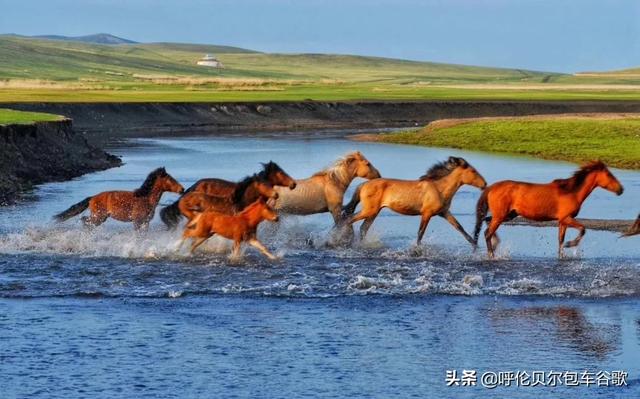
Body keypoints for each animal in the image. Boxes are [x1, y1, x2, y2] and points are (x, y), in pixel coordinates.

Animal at [53, 168, 184, 231]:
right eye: (170, 180)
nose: (182, 189)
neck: (145, 198)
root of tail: (92, 198)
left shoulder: (145, 222)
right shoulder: (137, 221)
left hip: (101, 218)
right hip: (98, 217)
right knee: (85, 221)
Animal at [344, 157, 484, 245]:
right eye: (473, 171)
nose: (484, 184)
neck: (439, 188)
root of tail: (363, 184)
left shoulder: (444, 213)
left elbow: (460, 227)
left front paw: (475, 245)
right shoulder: (427, 213)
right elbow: (420, 233)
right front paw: (417, 249)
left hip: (374, 212)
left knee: (363, 228)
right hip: (369, 210)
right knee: (349, 219)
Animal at [476, 161, 624, 258]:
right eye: (609, 175)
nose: (621, 190)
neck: (571, 192)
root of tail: (492, 187)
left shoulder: (562, 221)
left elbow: (560, 240)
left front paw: (562, 254)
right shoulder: (566, 218)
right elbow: (582, 229)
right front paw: (570, 244)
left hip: (507, 215)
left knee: (487, 223)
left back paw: (496, 244)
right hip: (501, 216)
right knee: (487, 233)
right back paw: (491, 254)